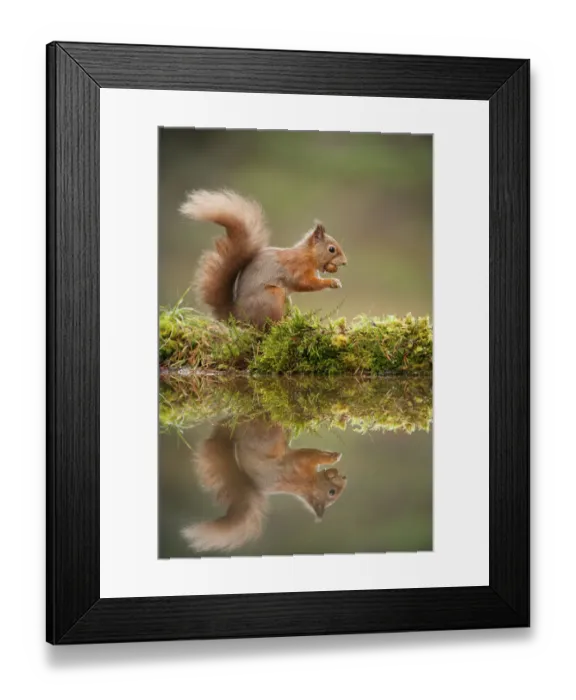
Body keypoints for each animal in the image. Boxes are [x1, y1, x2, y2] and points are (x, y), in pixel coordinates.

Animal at [179, 189, 348, 328]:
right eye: (331, 249)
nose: (345, 262)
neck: (308, 255)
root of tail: (240, 317)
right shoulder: (297, 268)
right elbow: (305, 283)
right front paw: (332, 282)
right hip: (273, 296)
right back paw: (283, 324)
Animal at [181, 419, 347, 553]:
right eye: (332, 492)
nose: (345, 477)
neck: (308, 485)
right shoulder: (299, 464)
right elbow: (313, 454)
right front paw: (333, 457)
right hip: (267, 438)